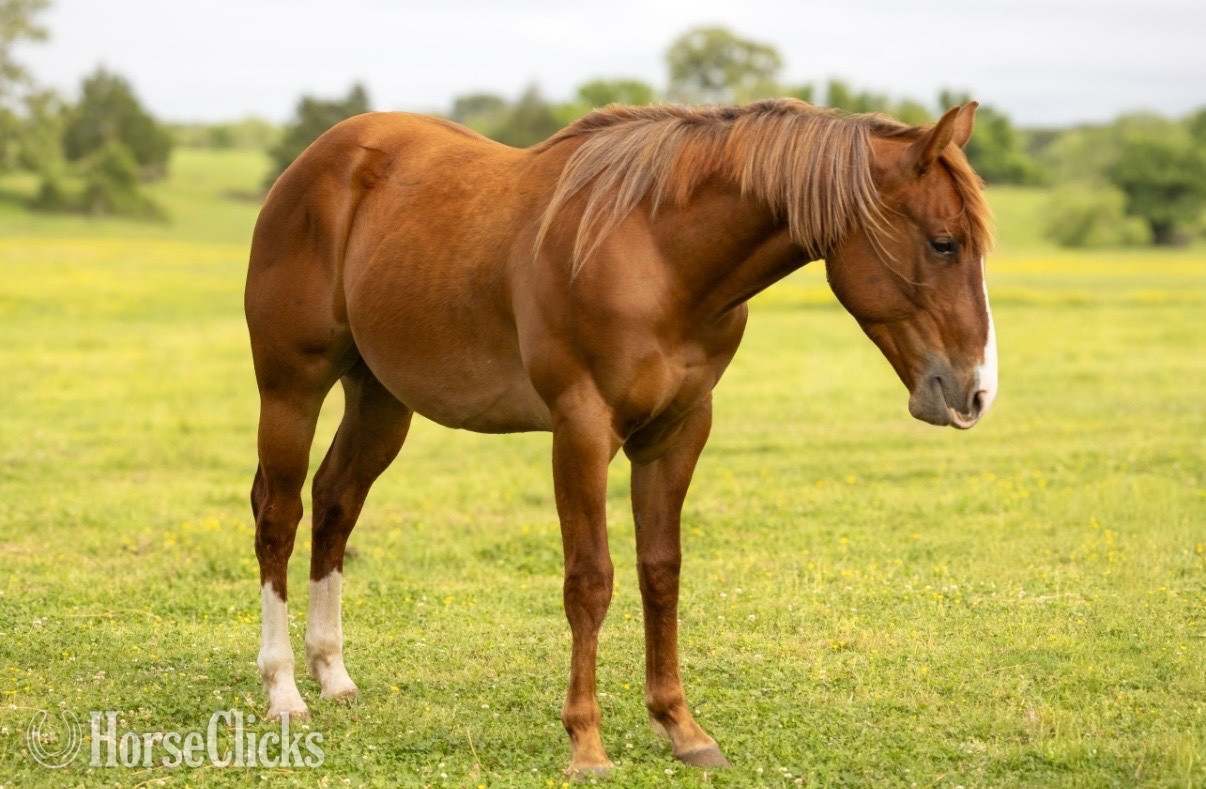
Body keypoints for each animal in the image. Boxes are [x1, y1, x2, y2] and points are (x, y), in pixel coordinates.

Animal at [244, 98, 997, 775]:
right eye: (944, 242)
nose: (975, 393)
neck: (656, 252)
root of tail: (314, 164)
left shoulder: (678, 431)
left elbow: (660, 571)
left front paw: (682, 727)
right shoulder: (580, 429)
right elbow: (591, 580)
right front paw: (586, 743)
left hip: (379, 400)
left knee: (336, 503)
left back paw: (333, 674)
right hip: (291, 390)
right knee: (280, 516)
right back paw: (285, 690)